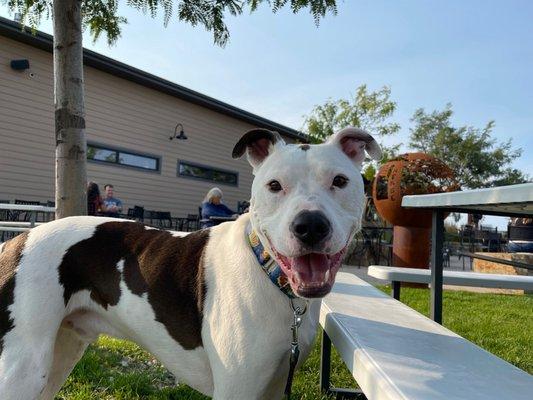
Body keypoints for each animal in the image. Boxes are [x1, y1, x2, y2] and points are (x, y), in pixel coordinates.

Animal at [0, 126, 378, 398]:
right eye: (274, 185)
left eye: (340, 181)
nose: (310, 226)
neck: (268, 272)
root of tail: (17, 240)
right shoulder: (237, 391)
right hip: (23, 366)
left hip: (60, 352)